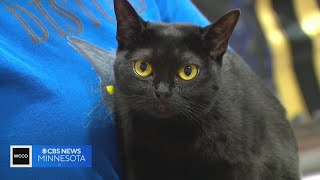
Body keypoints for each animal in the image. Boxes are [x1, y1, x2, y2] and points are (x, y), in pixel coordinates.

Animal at [112, 0, 300, 179]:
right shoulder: (138, 162)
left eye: (188, 71)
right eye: (142, 67)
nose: (163, 92)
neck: (171, 137)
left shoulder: (242, 165)